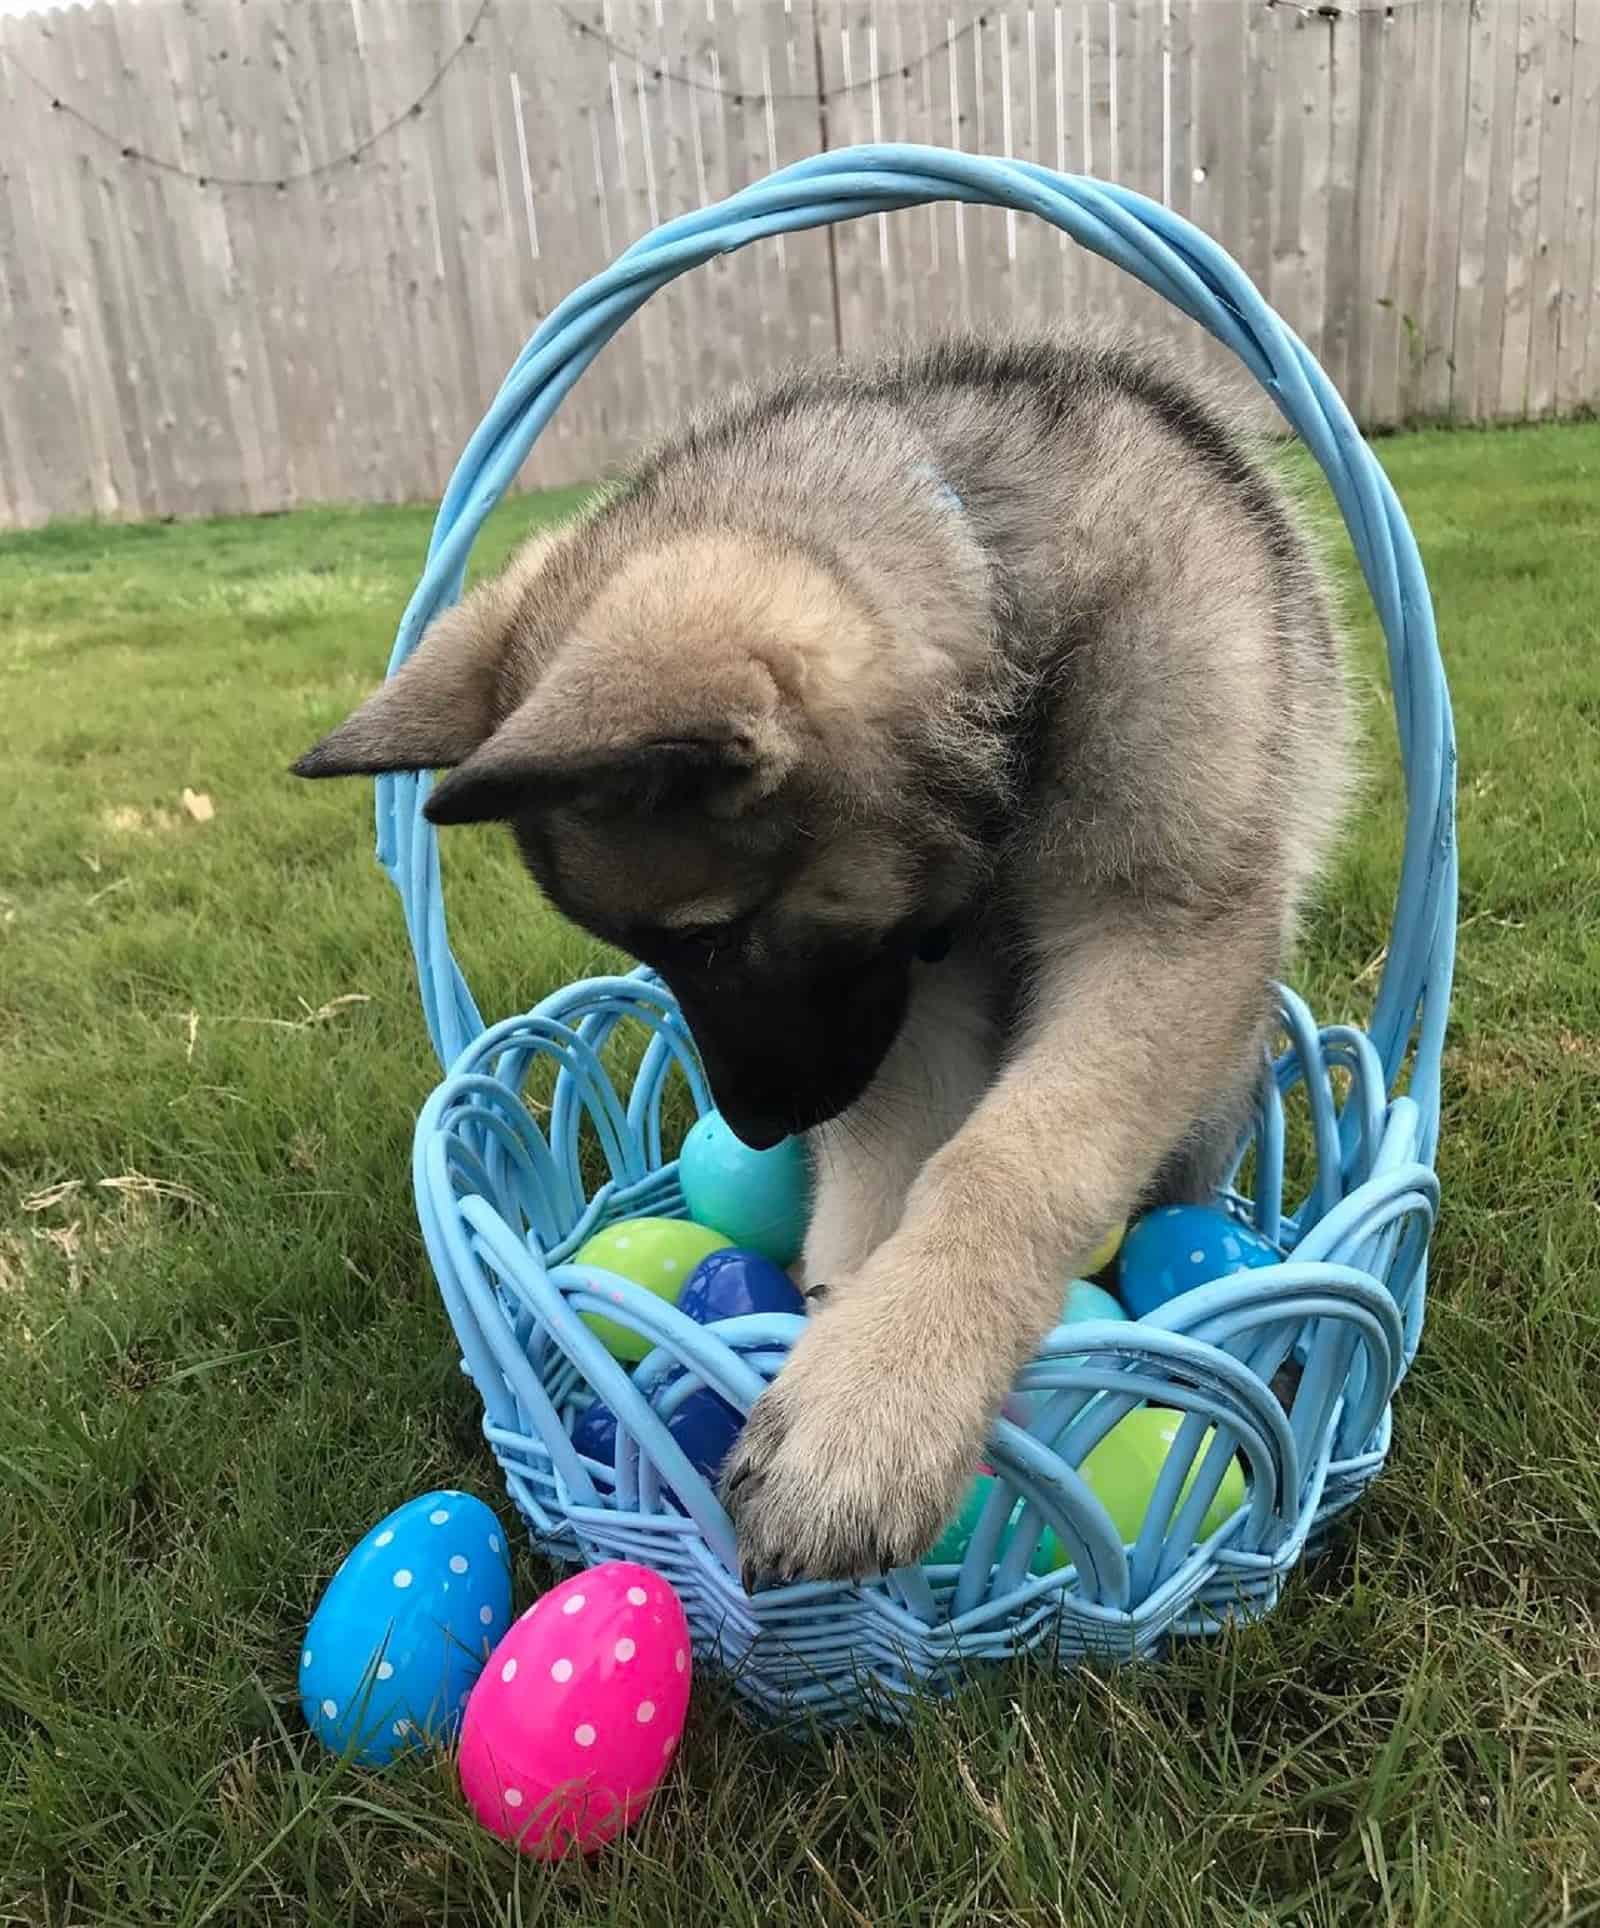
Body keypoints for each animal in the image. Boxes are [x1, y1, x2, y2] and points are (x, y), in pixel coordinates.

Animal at [296, 339, 1357, 1588]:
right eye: (659, 951)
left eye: (706, 936)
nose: (757, 1131)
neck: (994, 586)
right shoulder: (912, 981)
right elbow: (886, 1159)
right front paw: (828, 1330)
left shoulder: (1154, 932)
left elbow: (1010, 1157)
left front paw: (878, 1396)